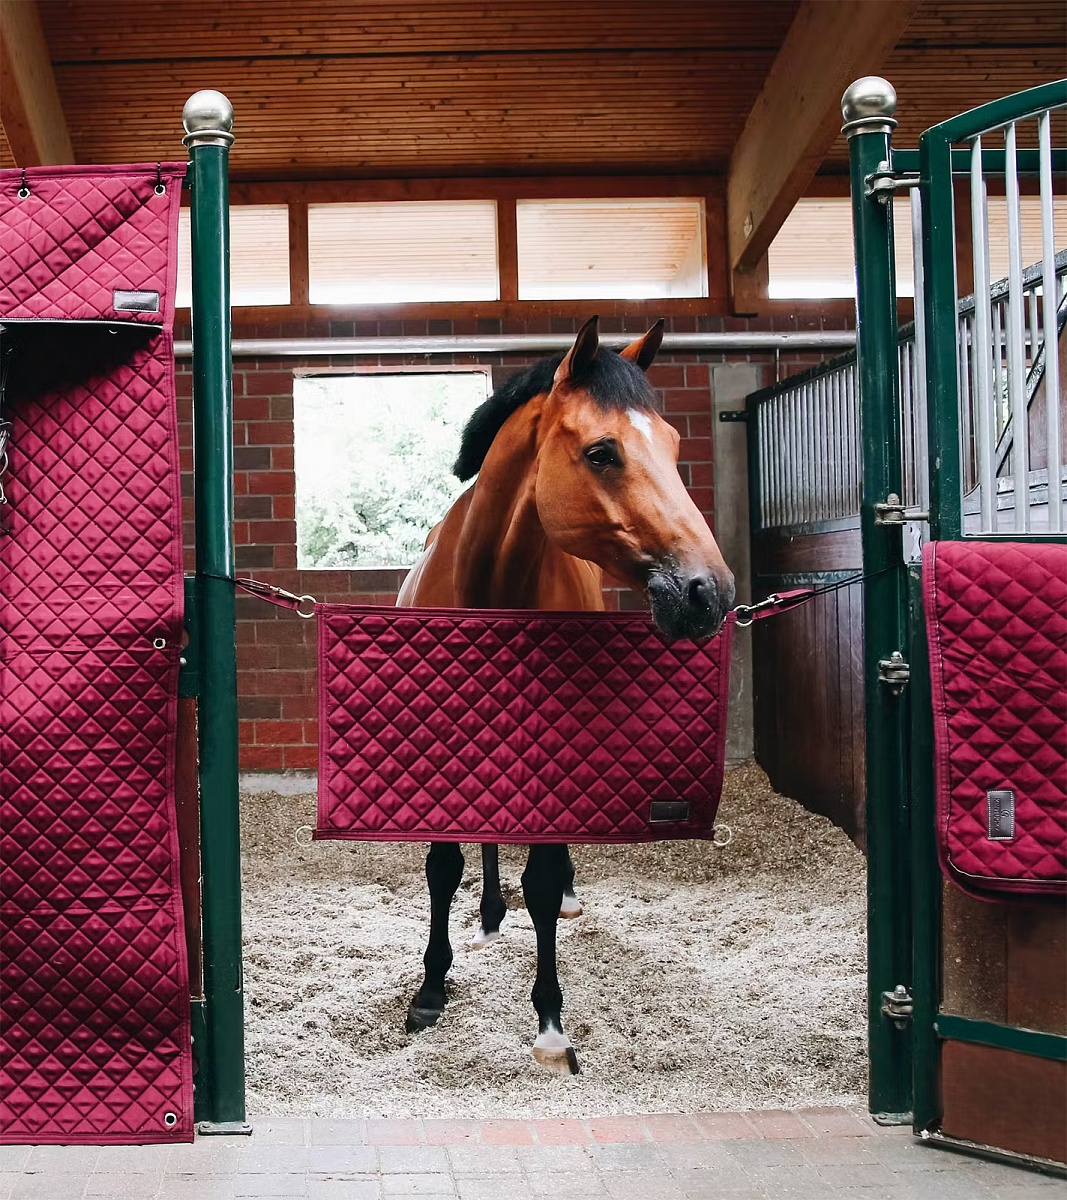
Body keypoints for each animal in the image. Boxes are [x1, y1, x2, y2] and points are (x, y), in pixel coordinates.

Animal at [395, 315, 735, 1073]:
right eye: (602, 452)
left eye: (673, 446)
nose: (709, 593)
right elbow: (443, 864)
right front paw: (430, 989)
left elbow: (544, 881)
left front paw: (550, 1019)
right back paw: (489, 915)